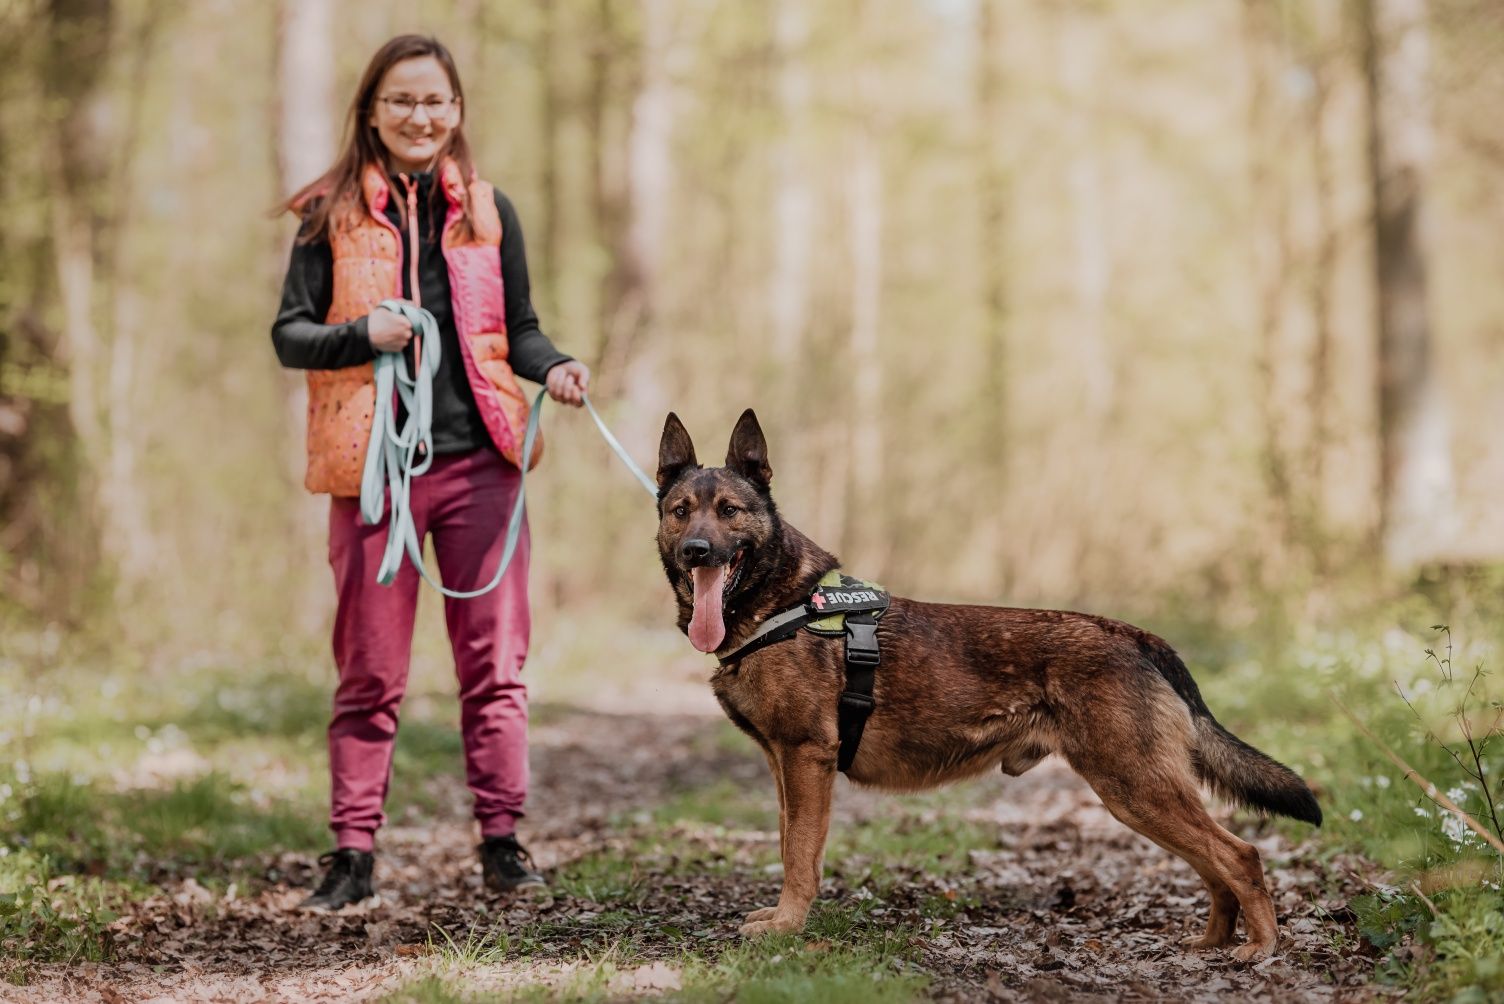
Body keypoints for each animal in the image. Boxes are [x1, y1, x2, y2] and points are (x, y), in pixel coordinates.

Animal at [652, 408, 1323, 961]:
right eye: (681, 511)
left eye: (730, 511)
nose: (697, 551)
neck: (781, 600)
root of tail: (1133, 635)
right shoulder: (785, 767)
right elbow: (790, 842)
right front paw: (782, 917)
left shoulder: (805, 759)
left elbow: (799, 857)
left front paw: (789, 927)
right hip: (1142, 795)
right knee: (1214, 864)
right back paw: (1213, 940)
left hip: (1135, 788)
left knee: (1239, 855)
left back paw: (1260, 948)